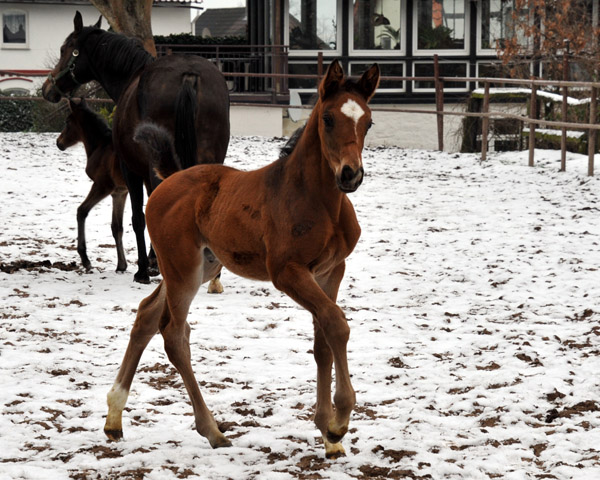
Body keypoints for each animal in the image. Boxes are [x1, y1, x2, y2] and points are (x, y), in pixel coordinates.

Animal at [56, 96, 127, 274]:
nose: (58, 143)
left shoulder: (102, 186)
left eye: (67, 122)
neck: (101, 147)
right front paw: (121, 265)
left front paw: (85, 259)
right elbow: (117, 227)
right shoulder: (119, 192)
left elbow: (81, 211)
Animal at [101, 60, 378, 458]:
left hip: (200, 266)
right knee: (174, 335)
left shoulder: (330, 271)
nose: (350, 175)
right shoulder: (287, 272)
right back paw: (213, 430)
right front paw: (339, 422)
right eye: (327, 119)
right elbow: (337, 324)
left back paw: (114, 417)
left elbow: (323, 341)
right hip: (183, 269)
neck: (318, 199)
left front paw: (328, 434)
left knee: (146, 316)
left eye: (367, 122)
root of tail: (168, 180)